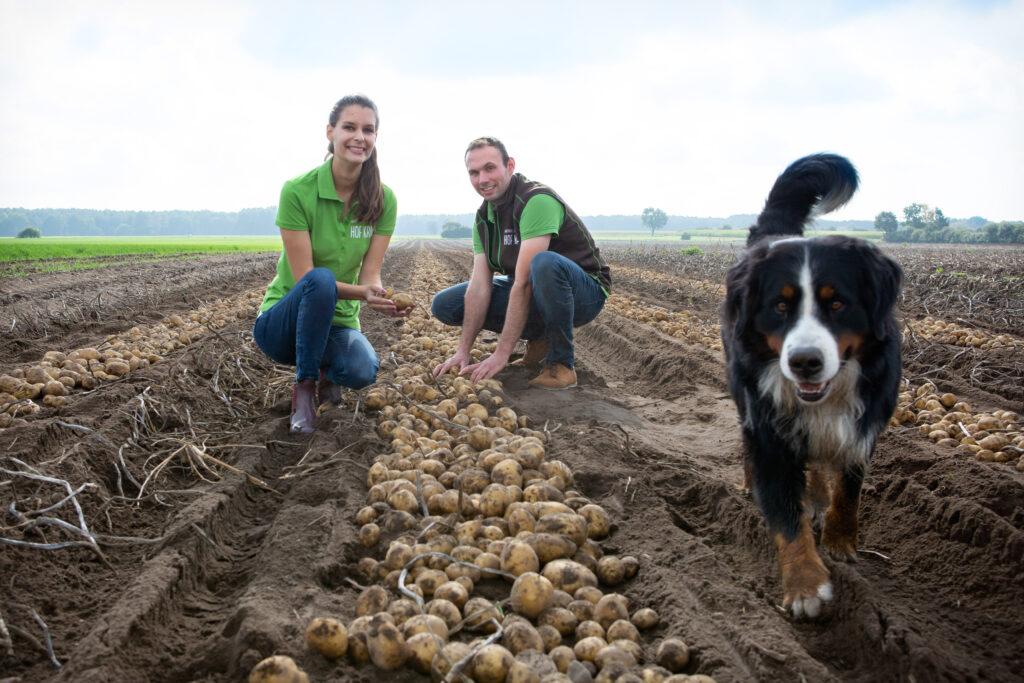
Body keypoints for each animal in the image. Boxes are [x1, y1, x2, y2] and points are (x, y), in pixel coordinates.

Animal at [724, 154, 901, 618]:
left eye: (836, 302)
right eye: (780, 306)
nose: (805, 362)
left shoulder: (863, 425)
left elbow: (849, 488)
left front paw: (840, 539)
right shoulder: (768, 430)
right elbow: (787, 520)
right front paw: (805, 585)